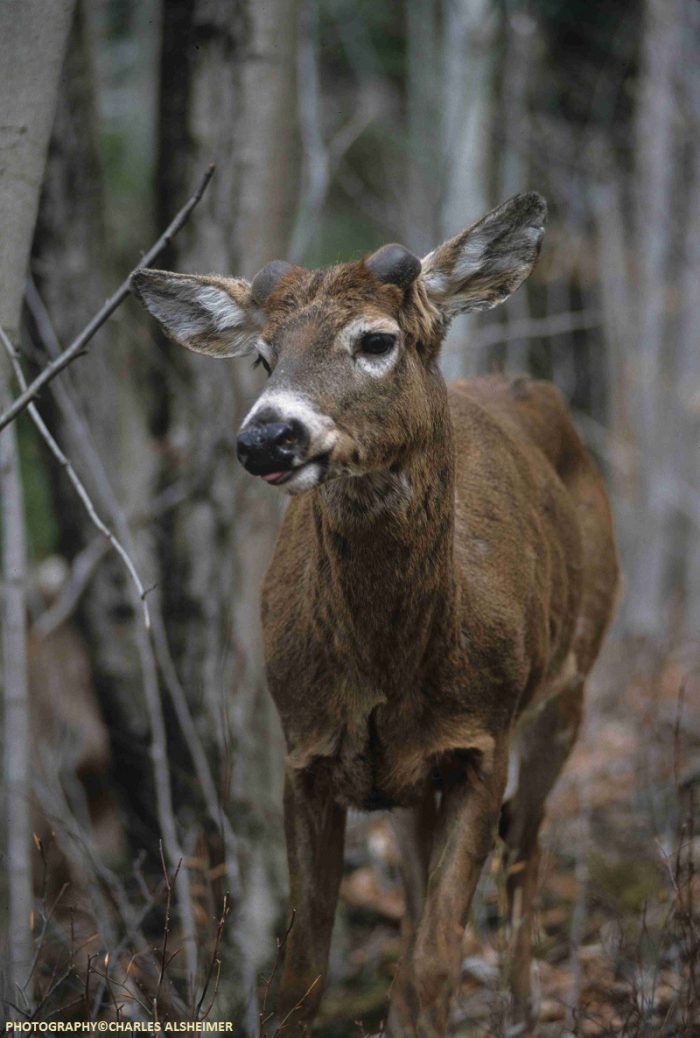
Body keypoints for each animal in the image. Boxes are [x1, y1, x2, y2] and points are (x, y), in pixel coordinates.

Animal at [130, 195, 614, 1038]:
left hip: (569, 687)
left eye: (376, 340)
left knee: (527, 846)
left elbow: (434, 964)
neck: (392, 666)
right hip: (410, 783)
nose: (266, 436)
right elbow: (302, 976)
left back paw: (523, 1010)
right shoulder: (306, 752)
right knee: (426, 890)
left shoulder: (483, 741)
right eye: (264, 357)